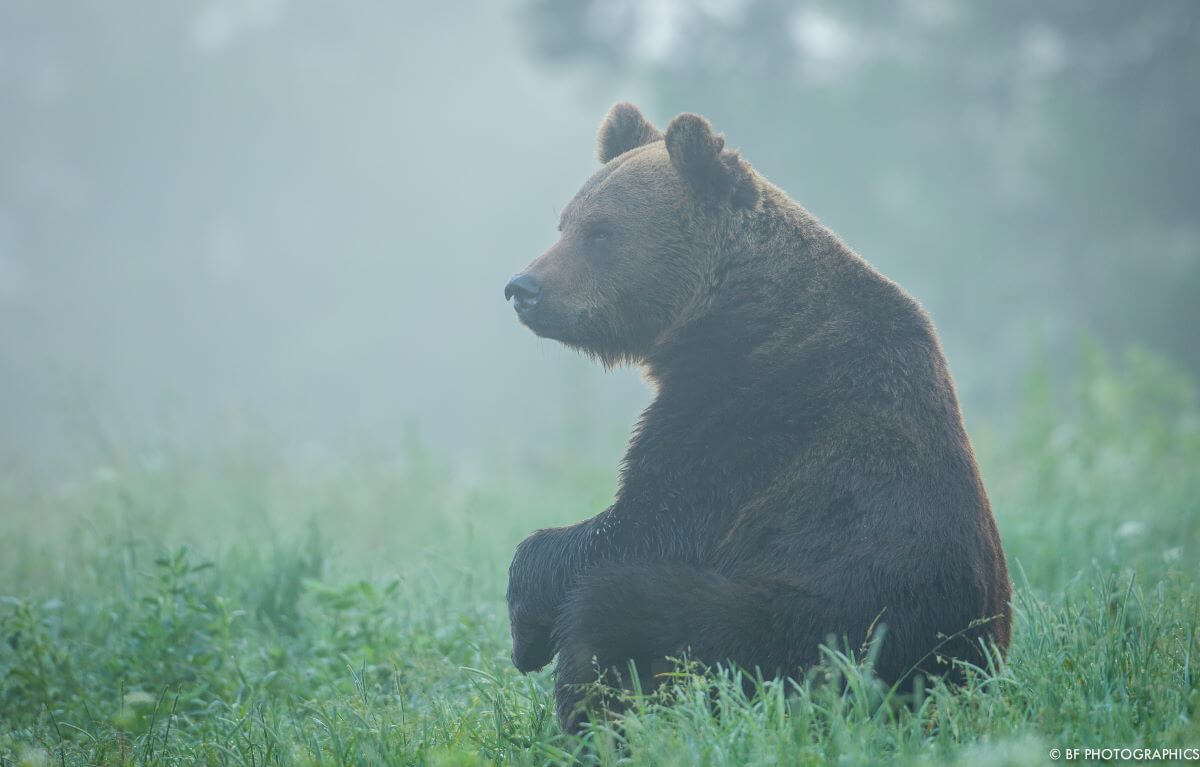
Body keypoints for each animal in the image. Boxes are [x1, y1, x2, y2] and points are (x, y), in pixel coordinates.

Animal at [501, 102, 1008, 729]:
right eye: (565, 224)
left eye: (601, 231)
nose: (522, 287)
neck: (733, 314)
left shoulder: (754, 415)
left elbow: (644, 528)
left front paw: (526, 630)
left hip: (807, 631)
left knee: (619, 608)